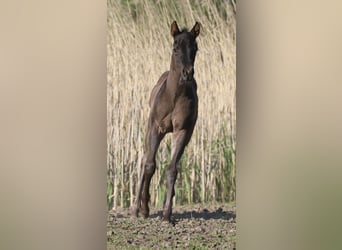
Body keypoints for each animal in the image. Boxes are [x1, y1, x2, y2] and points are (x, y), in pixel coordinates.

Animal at [132, 20, 199, 222]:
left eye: (195, 47)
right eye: (175, 47)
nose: (187, 73)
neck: (174, 97)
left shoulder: (183, 131)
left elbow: (171, 169)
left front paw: (167, 214)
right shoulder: (156, 128)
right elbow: (149, 165)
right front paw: (144, 209)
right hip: (148, 129)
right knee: (145, 159)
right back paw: (137, 208)